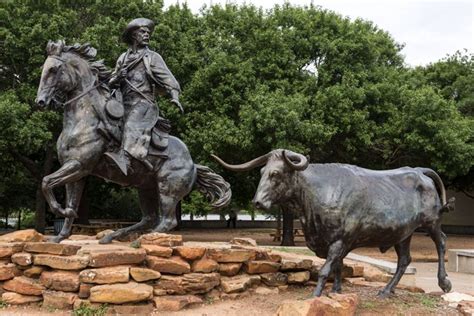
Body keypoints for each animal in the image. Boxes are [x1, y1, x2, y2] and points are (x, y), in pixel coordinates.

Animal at [35, 40, 231, 242]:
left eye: (54, 69)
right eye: (44, 69)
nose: (41, 101)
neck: (84, 120)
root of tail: (193, 164)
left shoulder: (79, 165)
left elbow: (46, 182)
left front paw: (59, 211)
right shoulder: (77, 171)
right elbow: (70, 203)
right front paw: (60, 235)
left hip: (167, 189)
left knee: (167, 221)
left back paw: (139, 240)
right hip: (145, 188)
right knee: (149, 218)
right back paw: (112, 237)